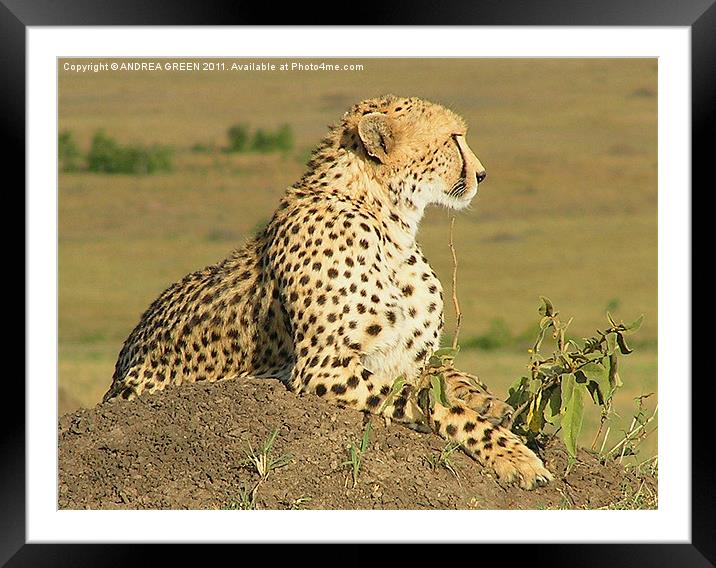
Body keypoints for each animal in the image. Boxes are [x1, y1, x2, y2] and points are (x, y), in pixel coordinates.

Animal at [105, 95, 552, 490]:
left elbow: (444, 376)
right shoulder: (322, 368)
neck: (388, 222)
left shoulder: (401, 358)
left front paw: (492, 403)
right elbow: (436, 404)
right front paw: (515, 456)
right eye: (453, 138)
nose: (482, 173)